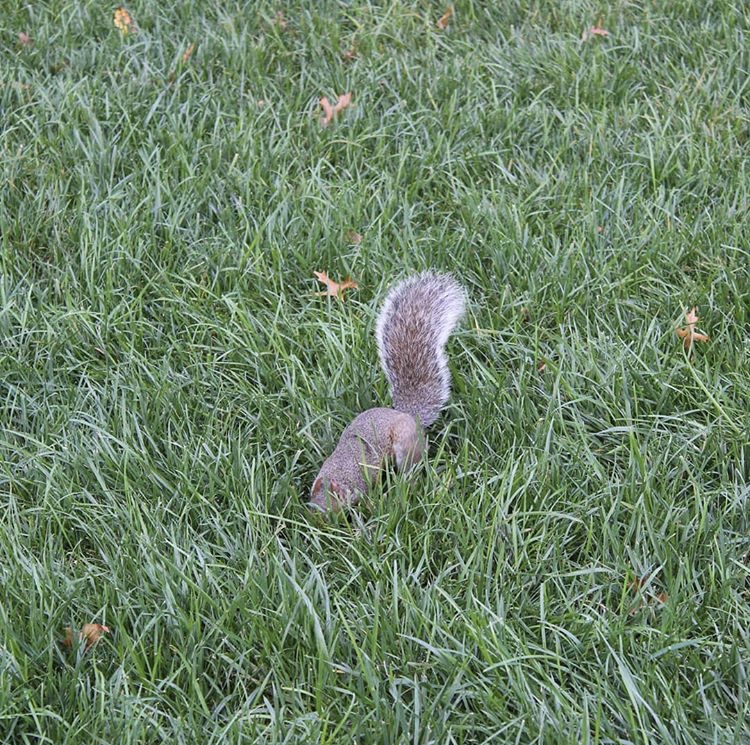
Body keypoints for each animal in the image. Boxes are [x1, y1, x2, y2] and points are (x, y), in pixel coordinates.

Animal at [310, 272, 464, 512]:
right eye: (311, 502)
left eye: (333, 501)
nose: (317, 516)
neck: (341, 471)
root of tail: (407, 415)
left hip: (405, 444)